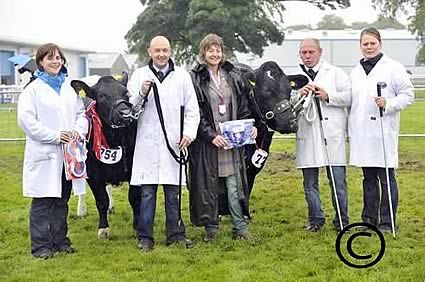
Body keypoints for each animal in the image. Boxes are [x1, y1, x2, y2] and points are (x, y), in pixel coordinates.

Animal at [71, 74, 141, 238]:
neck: (115, 139)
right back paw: (81, 210)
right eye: (102, 96)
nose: (125, 113)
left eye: (126, 93)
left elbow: (134, 198)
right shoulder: (93, 174)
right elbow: (101, 201)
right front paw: (103, 229)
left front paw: (137, 227)